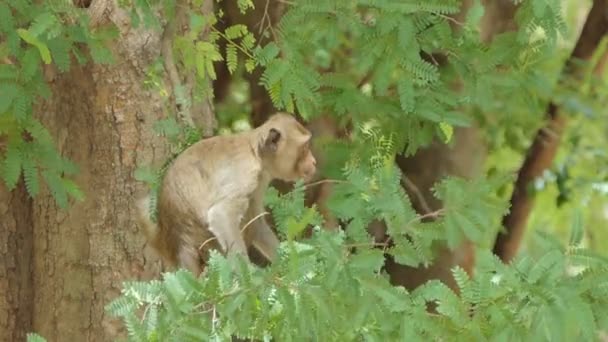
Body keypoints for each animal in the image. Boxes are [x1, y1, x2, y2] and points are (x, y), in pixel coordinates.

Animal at [135, 112, 316, 276]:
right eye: (305, 147)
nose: (314, 162)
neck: (256, 153)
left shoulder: (260, 180)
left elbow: (257, 222)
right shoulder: (245, 174)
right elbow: (220, 215)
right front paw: (249, 273)